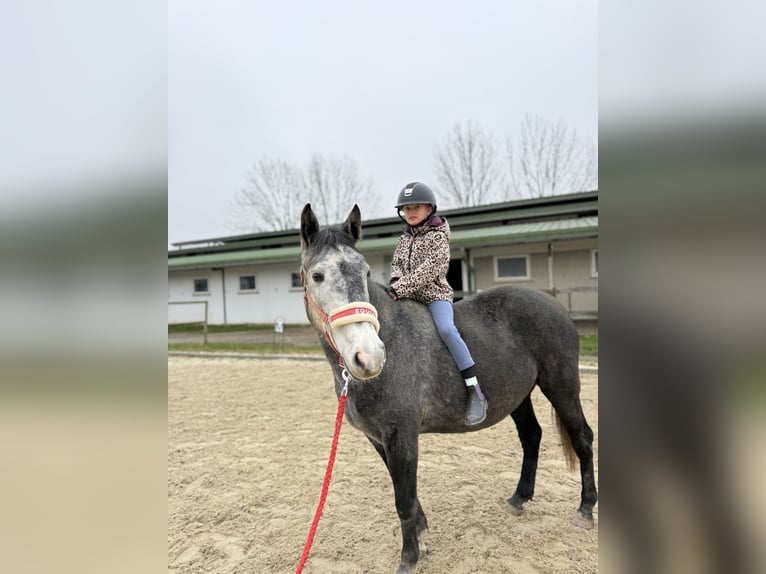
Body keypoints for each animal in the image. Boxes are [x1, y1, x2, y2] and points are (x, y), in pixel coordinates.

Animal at [299, 203, 597, 573]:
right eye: (317, 276)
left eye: (365, 271)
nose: (368, 356)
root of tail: (555, 305)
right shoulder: (379, 439)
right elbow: (406, 493)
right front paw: (421, 536)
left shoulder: (402, 436)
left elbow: (403, 499)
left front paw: (409, 557)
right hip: (519, 396)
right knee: (532, 436)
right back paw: (518, 498)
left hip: (562, 385)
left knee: (582, 438)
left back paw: (585, 509)